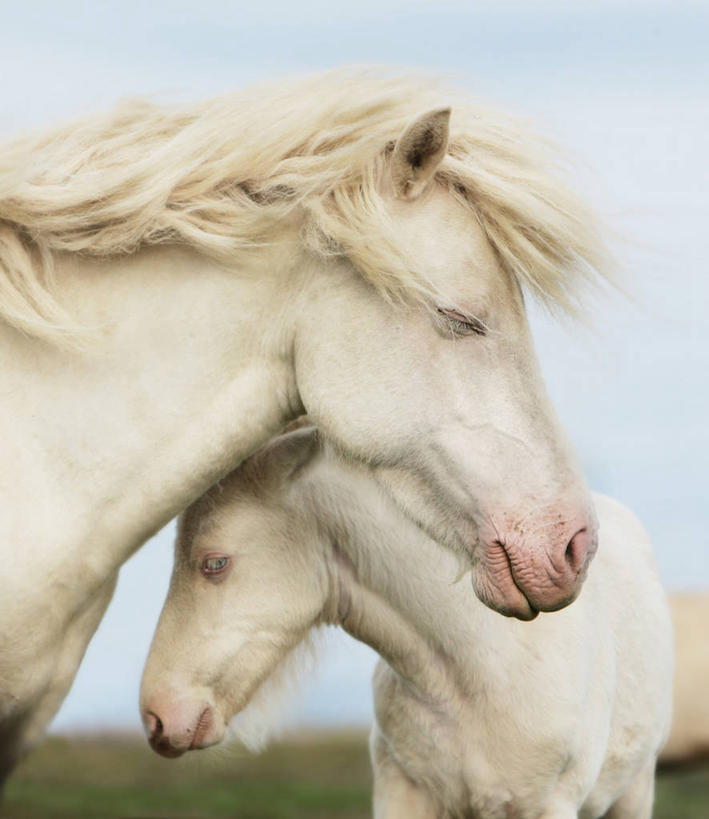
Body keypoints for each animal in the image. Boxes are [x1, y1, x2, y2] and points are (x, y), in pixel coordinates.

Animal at [140, 430, 676, 819]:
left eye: (214, 563)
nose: (157, 718)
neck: (476, 667)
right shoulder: (403, 794)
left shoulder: (549, 805)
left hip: (635, 791)